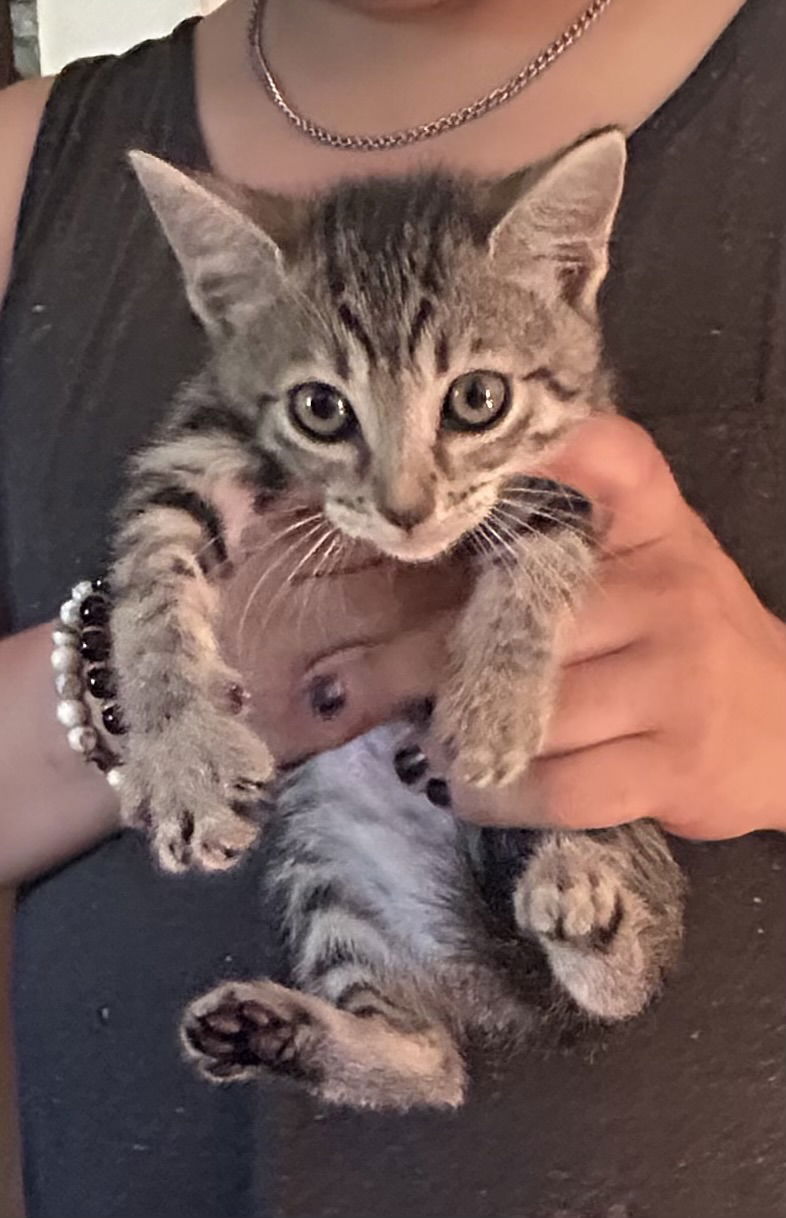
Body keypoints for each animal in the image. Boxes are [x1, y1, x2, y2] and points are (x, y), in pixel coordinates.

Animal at [109, 128, 682, 1110]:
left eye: (478, 398)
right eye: (320, 408)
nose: (405, 510)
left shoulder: (583, 463)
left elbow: (541, 549)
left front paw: (493, 703)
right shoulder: (194, 443)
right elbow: (146, 573)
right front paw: (181, 751)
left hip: (601, 808)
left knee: (625, 974)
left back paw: (590, 919)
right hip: (325, 871)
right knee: (436, 1067)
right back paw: (275, 1031)